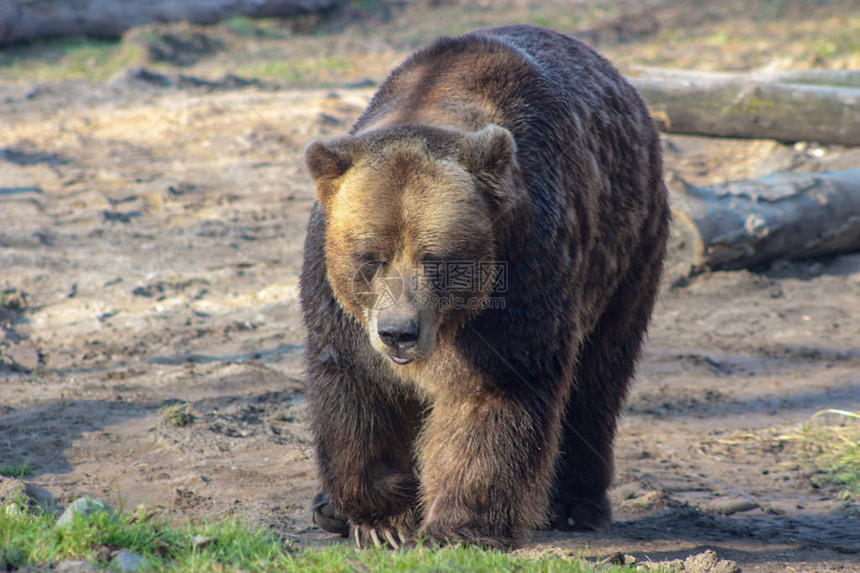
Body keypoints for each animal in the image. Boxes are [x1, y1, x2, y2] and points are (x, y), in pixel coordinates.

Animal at [302, 24, 672, 548]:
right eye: (370, 257)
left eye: (437, 259)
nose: (399, 332)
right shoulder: (340, 308)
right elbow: (359, 392)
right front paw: (381, 521)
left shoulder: (521, 273)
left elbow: (495, 392)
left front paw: (458, 526)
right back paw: (327, 508)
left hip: (627, 252)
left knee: (599, 378)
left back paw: (576, 504)